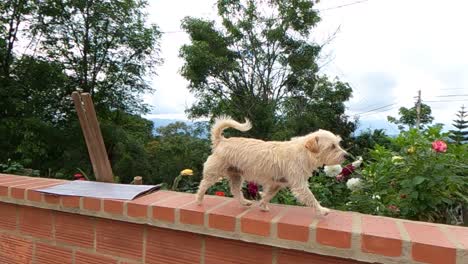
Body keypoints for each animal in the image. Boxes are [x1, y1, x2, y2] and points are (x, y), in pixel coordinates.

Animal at [194, 116, 348, 216]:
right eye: (332, 146)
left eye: (338, 143)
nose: (346, 155)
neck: (305, 152)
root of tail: (222, 141)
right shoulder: (299, 184)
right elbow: (311, 197)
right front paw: (321, 210)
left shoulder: (276, 184)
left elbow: (267, 195)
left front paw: (262, 206)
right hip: (214, 173)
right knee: (203, 185)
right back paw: (199, 200)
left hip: (236, 175)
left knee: (235, 190)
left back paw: (244, 202)